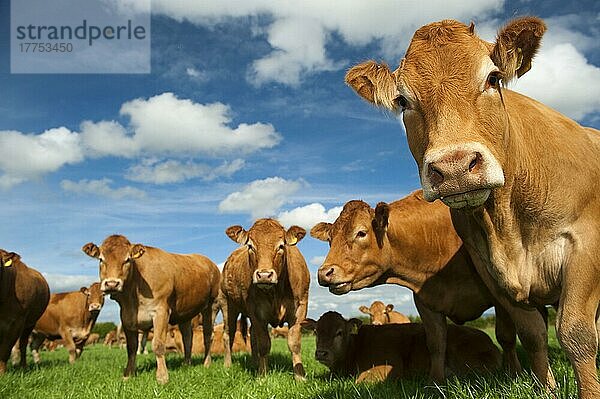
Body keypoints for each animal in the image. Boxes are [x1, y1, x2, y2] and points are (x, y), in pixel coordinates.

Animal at [81, 234, 219, 384]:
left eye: (128, 259)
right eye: (101, 259)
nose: (112, 284)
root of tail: (209, 262)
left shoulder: (161, 312)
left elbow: (158, 344)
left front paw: (162, 377)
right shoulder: (126, 317)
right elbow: (131, 348)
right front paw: (128, 374)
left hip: (211, 305)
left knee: (208, 335)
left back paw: (206, 363)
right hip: (185, 313)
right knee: (187, 337)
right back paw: (186, 364)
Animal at [218, 220, 310, 380]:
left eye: (281, 246)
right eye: (250, 246)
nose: (264, 275)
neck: (276, 293)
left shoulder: (300, 309)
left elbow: (294, 344)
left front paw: (300, 376)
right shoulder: (256, 311)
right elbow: (264, 344)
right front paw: (262, 376)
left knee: (252, 334)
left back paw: (255, 362)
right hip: (227, 304)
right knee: (228, 334)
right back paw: (228, 365)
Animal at [344, 17, 600, 398]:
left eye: (493, 78)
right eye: (402, 100)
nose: (454, 167)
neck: (510, 224)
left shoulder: (585, 247)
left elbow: (576, 334)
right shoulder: (491, 272)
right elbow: (532, 334)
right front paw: (546, 389)